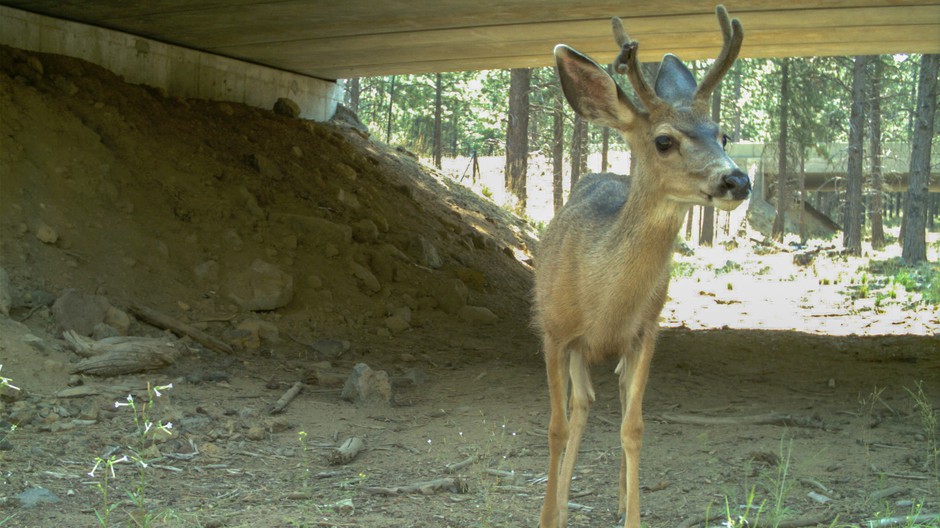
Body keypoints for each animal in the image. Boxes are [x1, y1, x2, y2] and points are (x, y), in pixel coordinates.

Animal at [536, 5, 748, 528]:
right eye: (664, 141)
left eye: (723, 134)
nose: (737, 180)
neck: (601, 296)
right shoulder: (553, 330)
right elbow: (555, 427)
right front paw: (549, 514)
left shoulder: (647, 331)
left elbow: (633, 427)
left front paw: (630, 512)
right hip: (574, 347)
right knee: (581, 406)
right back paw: (563, 501)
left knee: (605, 397)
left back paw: (612, 497)